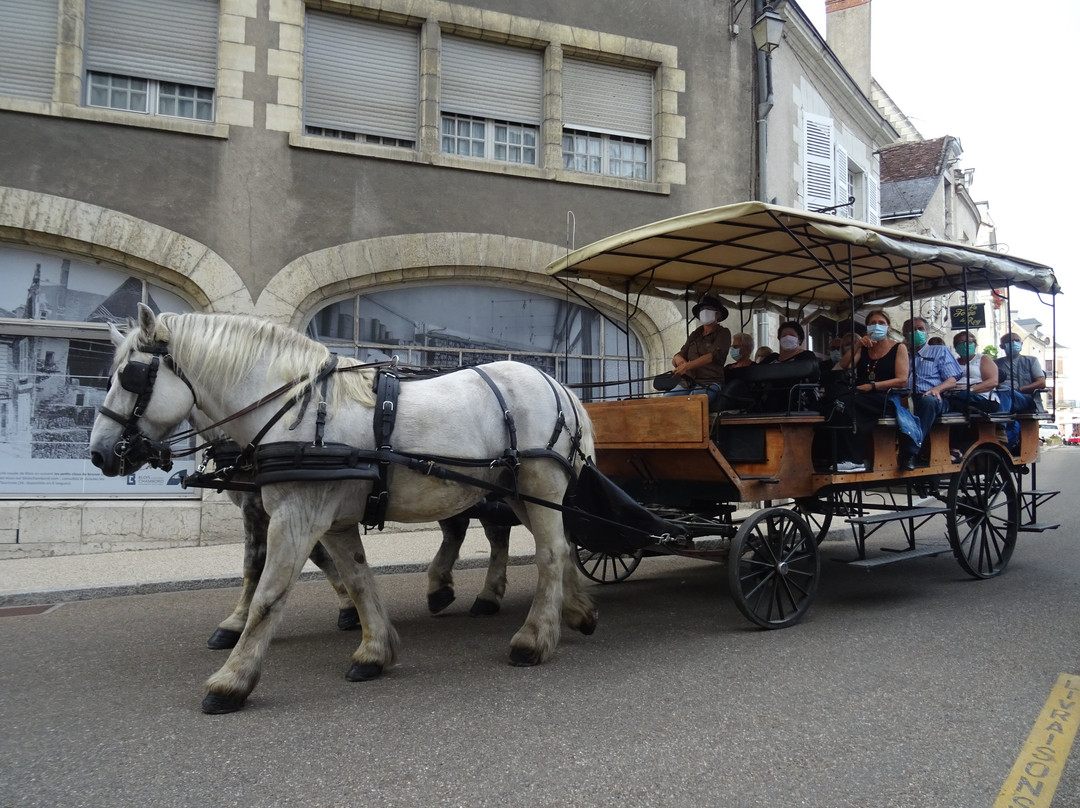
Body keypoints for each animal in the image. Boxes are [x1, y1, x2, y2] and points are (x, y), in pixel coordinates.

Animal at [89, 306, 600, 712]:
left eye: (130, 377)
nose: (99, 453)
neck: (297, 412)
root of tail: (558, 385)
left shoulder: (294, 517)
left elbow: (267, 592)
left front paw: (232, 680)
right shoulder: (330, 521)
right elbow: (356, 578)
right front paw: (374, 650)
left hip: (538, 481)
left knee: (550, 553)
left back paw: (533, 639)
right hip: (517, 491)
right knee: (557, 544)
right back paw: (576, 611)